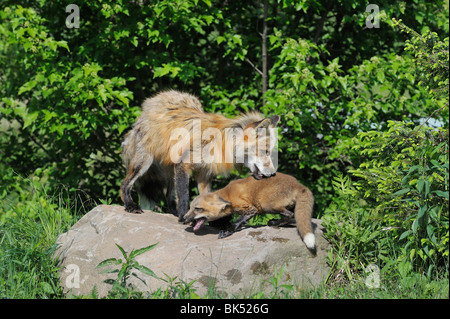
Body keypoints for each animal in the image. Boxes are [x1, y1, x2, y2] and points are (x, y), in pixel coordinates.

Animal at [121, 90, 280, 220]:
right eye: (266, 151)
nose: (273, 174)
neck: (221, 143)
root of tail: (152, 100)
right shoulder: (184, 164)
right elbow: (184, 196)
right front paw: (184, 216)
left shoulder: (205, 172)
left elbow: (207, 199)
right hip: (145, 161)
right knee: (125, 184)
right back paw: (130, 205)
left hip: (170, 168)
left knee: (168, 195)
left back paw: (173, 212)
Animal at [183, 174, 316, 251]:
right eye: (190, 207)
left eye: (197, 208)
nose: (183, 219)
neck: (229, 195)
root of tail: (298, 184)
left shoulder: (251, 209)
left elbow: (237, 222)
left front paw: (227, 231)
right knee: (291, 215)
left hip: (266, 205)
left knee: (290, 214)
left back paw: (274, 223)